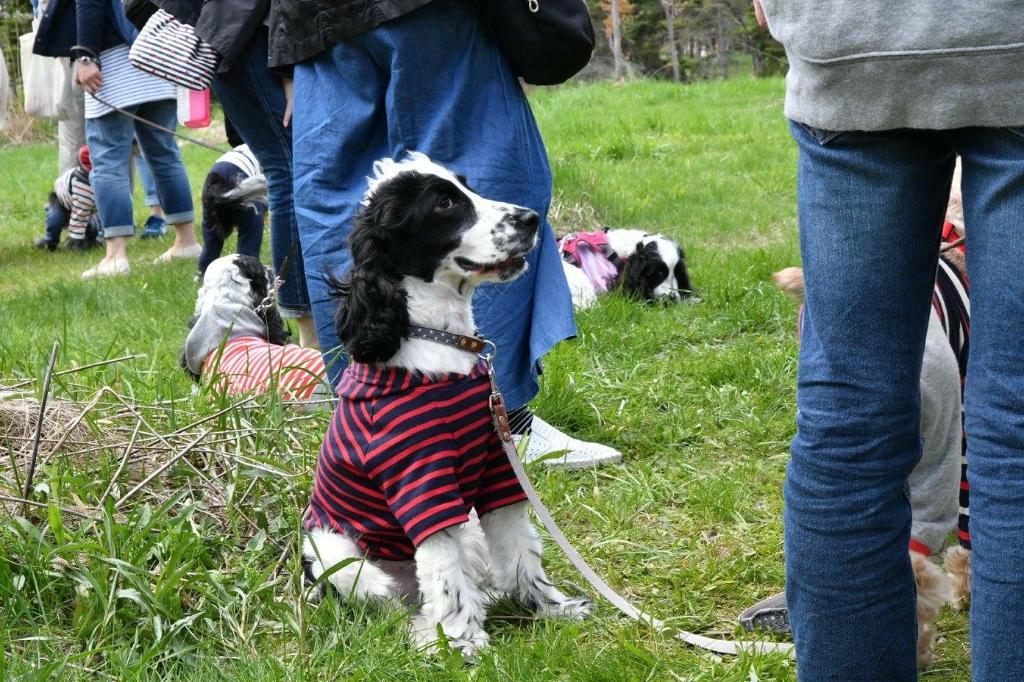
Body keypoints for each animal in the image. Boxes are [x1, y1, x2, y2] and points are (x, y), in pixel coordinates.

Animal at [301, 153, 591, 658]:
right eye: (444, 204)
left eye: (467, 187)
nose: (531, 219)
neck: (443, 344)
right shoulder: (423, 484)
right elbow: (444, 573)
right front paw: (462, 641)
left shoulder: (498, 467)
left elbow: (520, 547)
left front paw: (551, 608)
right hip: (332, 550)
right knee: (399, 600)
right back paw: (428, 629)